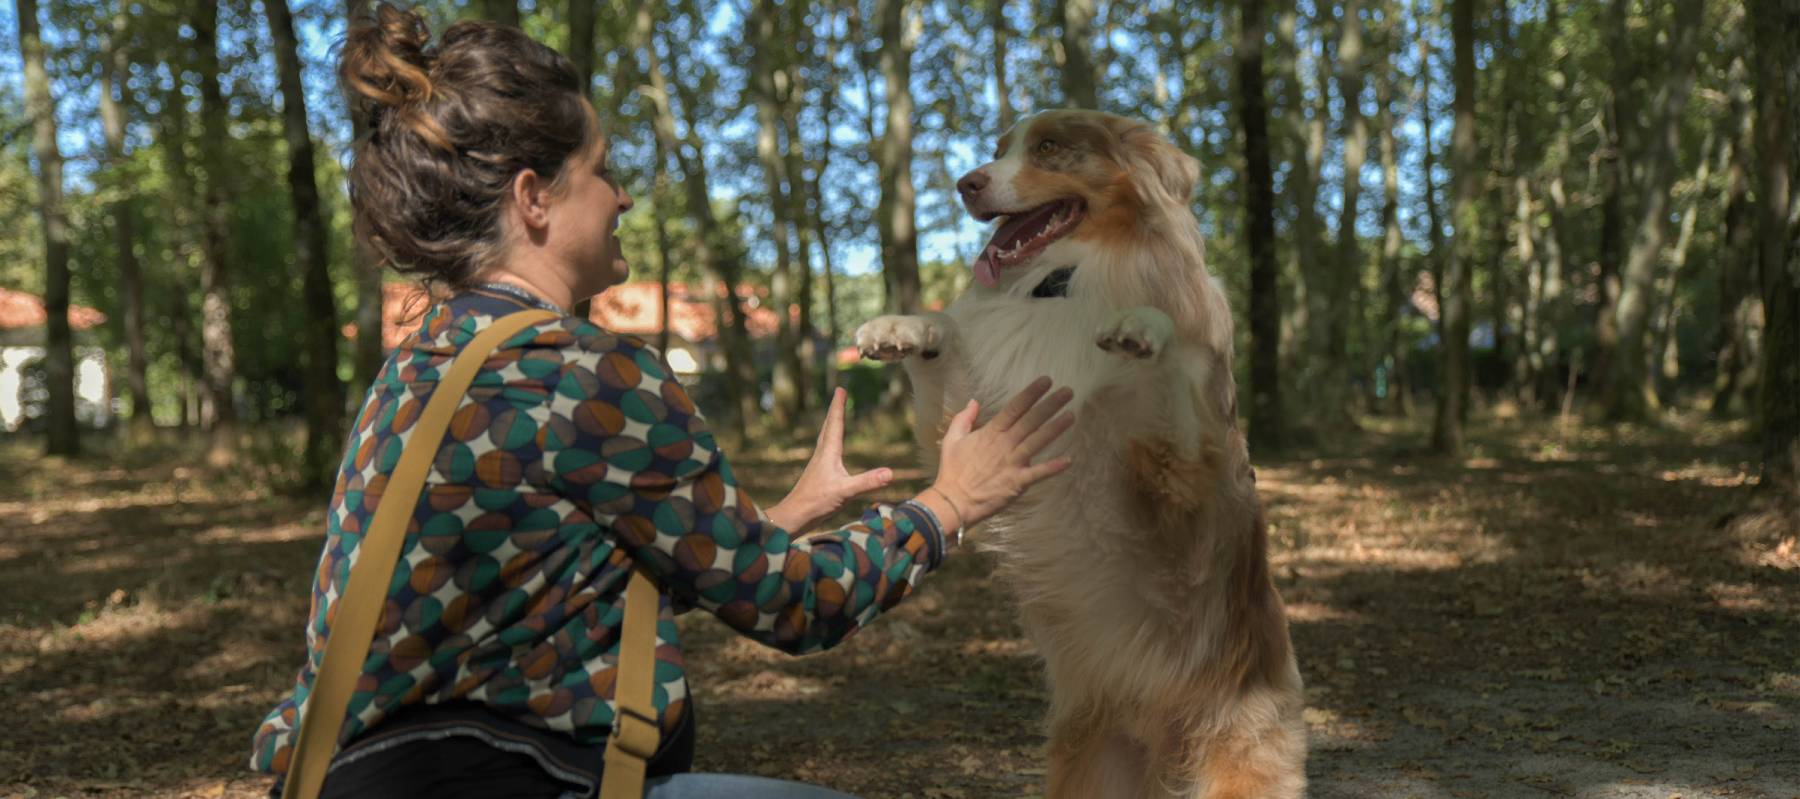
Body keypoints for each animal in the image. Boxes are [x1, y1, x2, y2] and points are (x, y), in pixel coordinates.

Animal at [849, 107, 1303, 799]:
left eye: (1050, 148)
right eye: (998, 149)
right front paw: (904, 327)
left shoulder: (1182, 481)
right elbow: (949, 339)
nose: (966, 183)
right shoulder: (966, 422)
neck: (1062, 285)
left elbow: (1175, 367)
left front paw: (1145, 329)